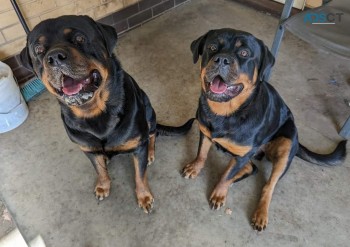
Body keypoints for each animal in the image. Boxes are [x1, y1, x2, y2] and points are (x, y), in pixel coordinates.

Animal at [19, 14, 194, 212]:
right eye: (39, 50)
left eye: (80, 38)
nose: (54, 57)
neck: (95, 113)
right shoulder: (88, 149)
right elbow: (99, 169)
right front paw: (103, 185)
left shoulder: (137, 147)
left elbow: (140, 175)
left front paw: (144, 196)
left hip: (149, 112)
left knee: (152, 134)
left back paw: (150, 152)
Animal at [183, 28, 348, 231]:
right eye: (212, 47)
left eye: (244, 53)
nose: (221, 59)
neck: (226, 113)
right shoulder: (205, 132)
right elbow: (202, 153)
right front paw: (195, 167)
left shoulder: (243, 154)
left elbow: (226, 175)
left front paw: (219, 193)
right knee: (250, 168)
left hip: (286, 145)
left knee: (268, 184)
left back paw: (260, 213)